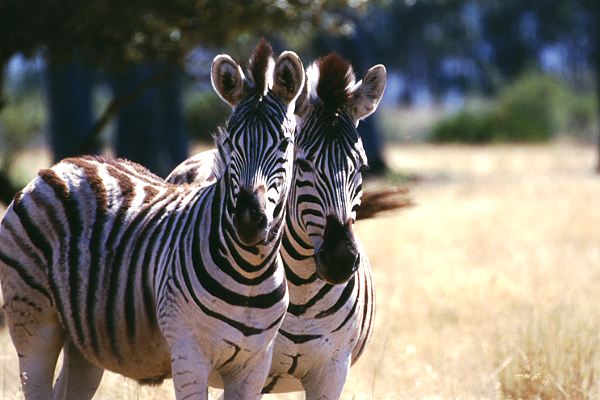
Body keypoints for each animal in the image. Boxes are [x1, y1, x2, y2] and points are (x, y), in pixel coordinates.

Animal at [1, 39, 304, 400]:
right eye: (230, 142)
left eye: (285, 144)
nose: (247, 220)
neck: (251, 273)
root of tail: (66, 164)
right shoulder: (189, 352)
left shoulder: (254, 364)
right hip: (33, 319)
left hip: (84, 338)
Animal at [166, 54, 386, 400]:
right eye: (303, 164)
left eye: (361, 167)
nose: (340, 259)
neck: (303, 292)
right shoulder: (252, 365)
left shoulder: (332, 371)